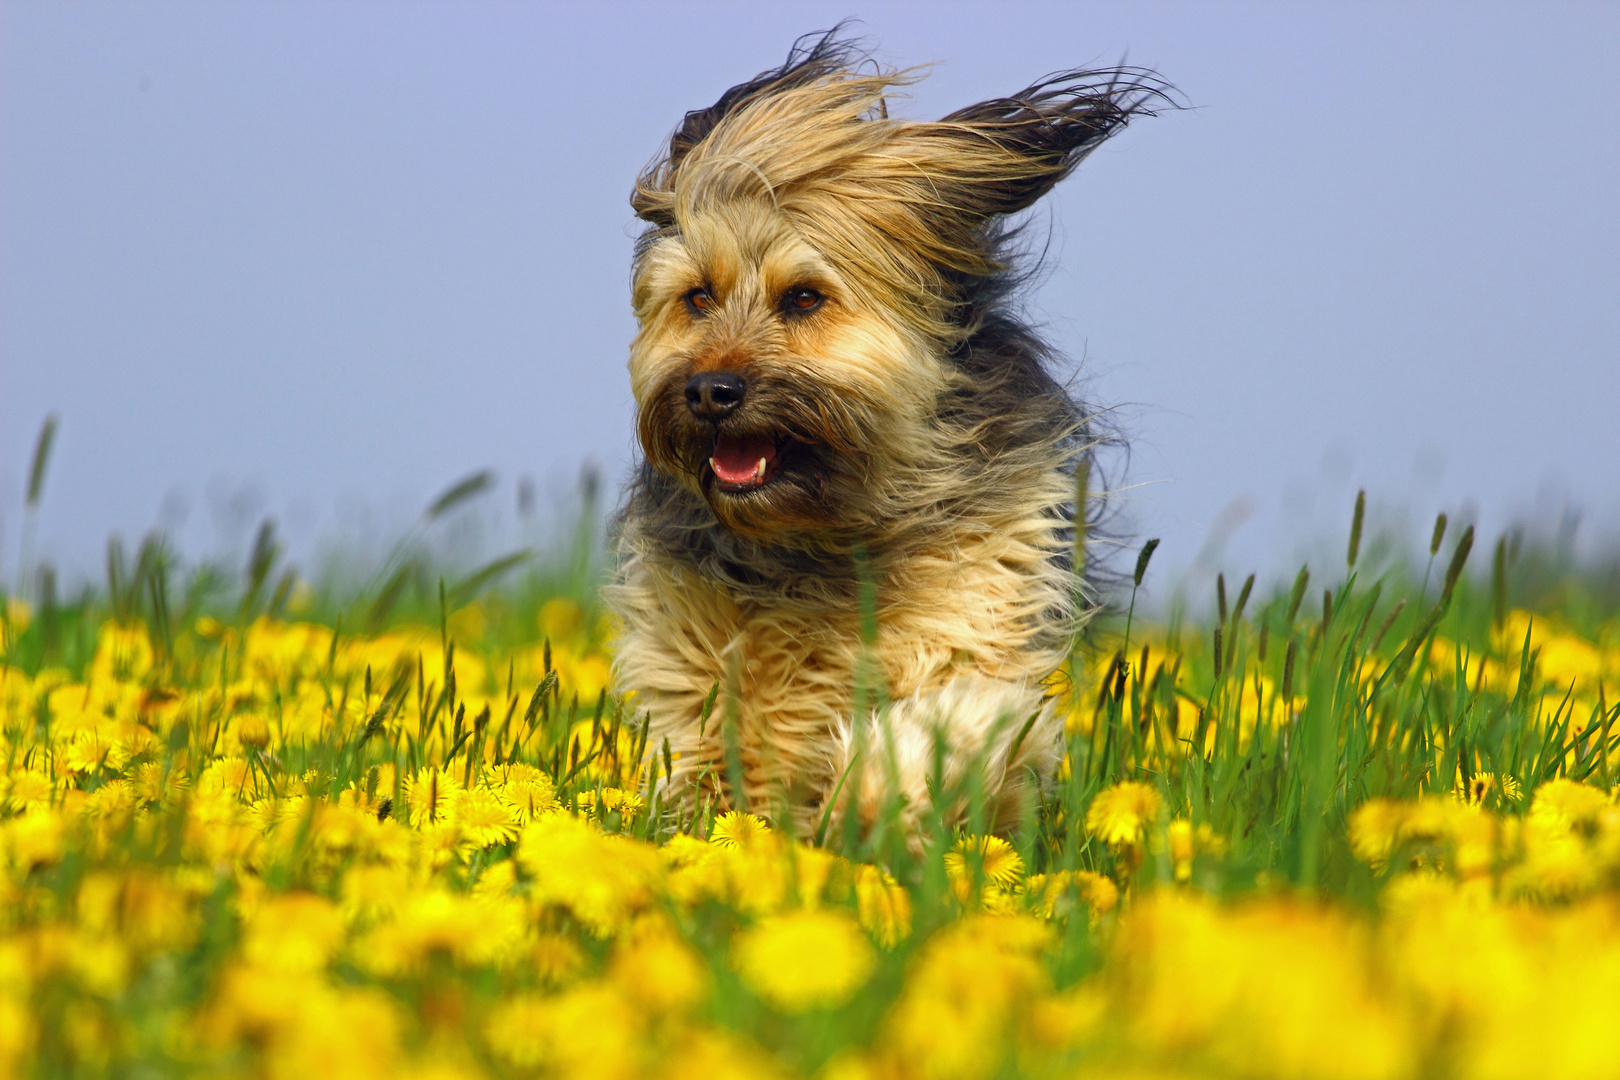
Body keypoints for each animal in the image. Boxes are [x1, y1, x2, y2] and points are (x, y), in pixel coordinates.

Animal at [609, 27, 1166, 835]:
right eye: (698, 297)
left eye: (804, 298)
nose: (711, 392)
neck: (828, 535)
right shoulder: (697, 651)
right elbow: (725, 746)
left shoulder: (978, 598)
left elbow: (953, 717)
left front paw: (879, 796)